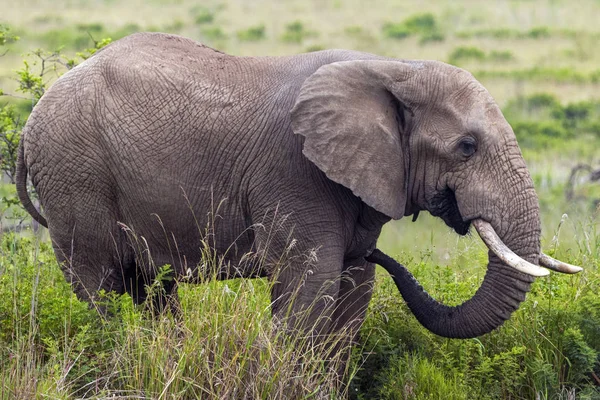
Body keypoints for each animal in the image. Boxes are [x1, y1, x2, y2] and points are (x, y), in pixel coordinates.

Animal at [16, 31, 580, 346]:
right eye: (466, 146)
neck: (393, 67)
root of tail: (29, 124)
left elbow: (353, 292)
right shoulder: (295, 173)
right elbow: (310, 285)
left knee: (151, 289)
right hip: (75, 173)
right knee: (100, 285)